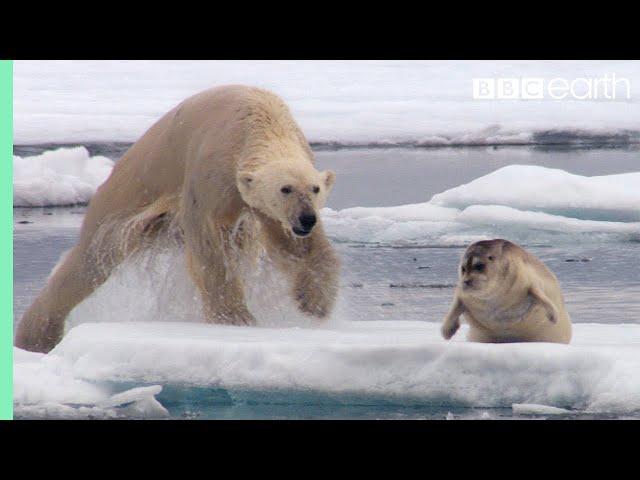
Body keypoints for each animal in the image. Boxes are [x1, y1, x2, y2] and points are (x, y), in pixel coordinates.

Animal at [15, 85, 342, 352]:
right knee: (92, 258)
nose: (307, 219)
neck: (260, 119)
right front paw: (236, 318)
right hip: (129, 193)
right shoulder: (213, 169)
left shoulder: (265, 206)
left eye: (315, 189)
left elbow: (296, 246)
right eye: (285, 188)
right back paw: (36, 335)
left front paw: (315, 302)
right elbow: (209, 242)